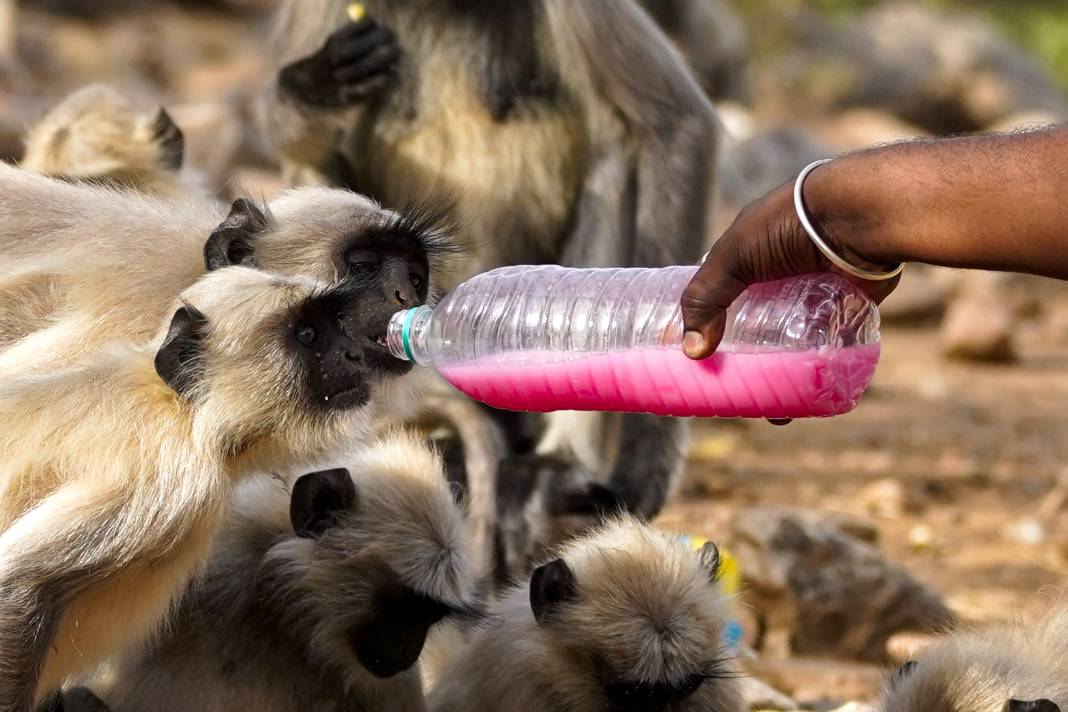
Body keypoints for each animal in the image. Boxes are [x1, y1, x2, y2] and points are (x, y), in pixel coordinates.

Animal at [0, 264, 412, 708]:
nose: (354, 355)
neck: (184, 411)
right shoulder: (168, 472)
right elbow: (16, 587)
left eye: (335, 327)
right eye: (308, 334)